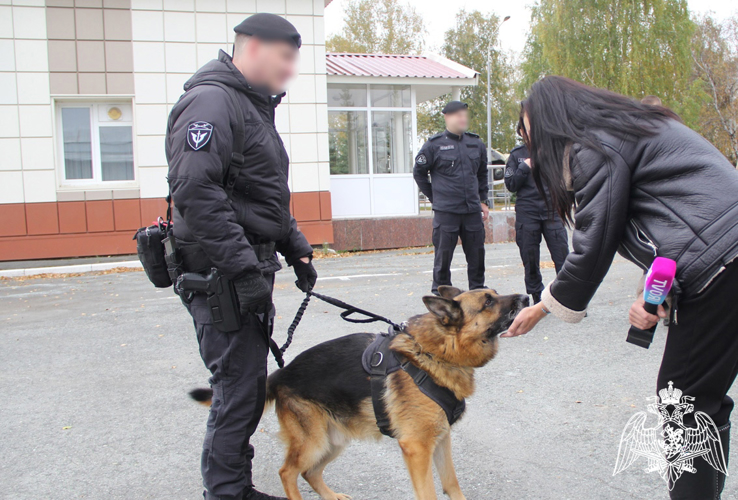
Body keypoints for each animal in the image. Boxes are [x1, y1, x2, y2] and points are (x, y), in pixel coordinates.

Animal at [193, 288, 528, 498]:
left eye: (494, 294)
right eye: (487, 302)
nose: (525, 296)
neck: (433, 352)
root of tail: (280, 373)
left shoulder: (441, 440)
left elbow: (453, 485)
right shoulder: (417, 448)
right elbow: (430, 492)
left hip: (333, 441)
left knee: (310, 473)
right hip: (314, 442)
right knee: (288, 472)